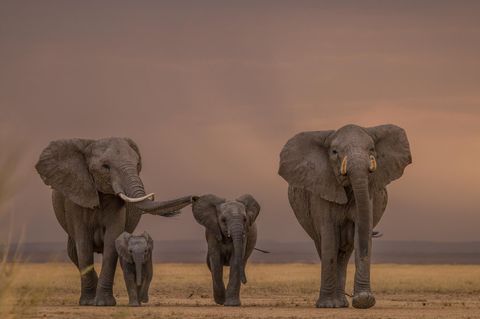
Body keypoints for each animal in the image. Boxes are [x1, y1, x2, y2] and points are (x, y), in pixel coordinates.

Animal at [35, 138, 195, 308]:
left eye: (138, 164)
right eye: (105, 167)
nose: (193, 197)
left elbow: (111, 242)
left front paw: (104, 303)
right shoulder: (75, 197)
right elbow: (83, 245)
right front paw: (88, 303)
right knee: (73, 252)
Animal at [278, 124, 412, 308]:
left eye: (372, 149)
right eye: (334, 152)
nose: (358, 297)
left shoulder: (369, 192)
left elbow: (362, 230)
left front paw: (364, 300)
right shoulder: (321, 188)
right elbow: (329, 237)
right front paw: (327, 305)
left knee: (345, 253)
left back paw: (341, 303)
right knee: (325, 246)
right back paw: (334, 303)